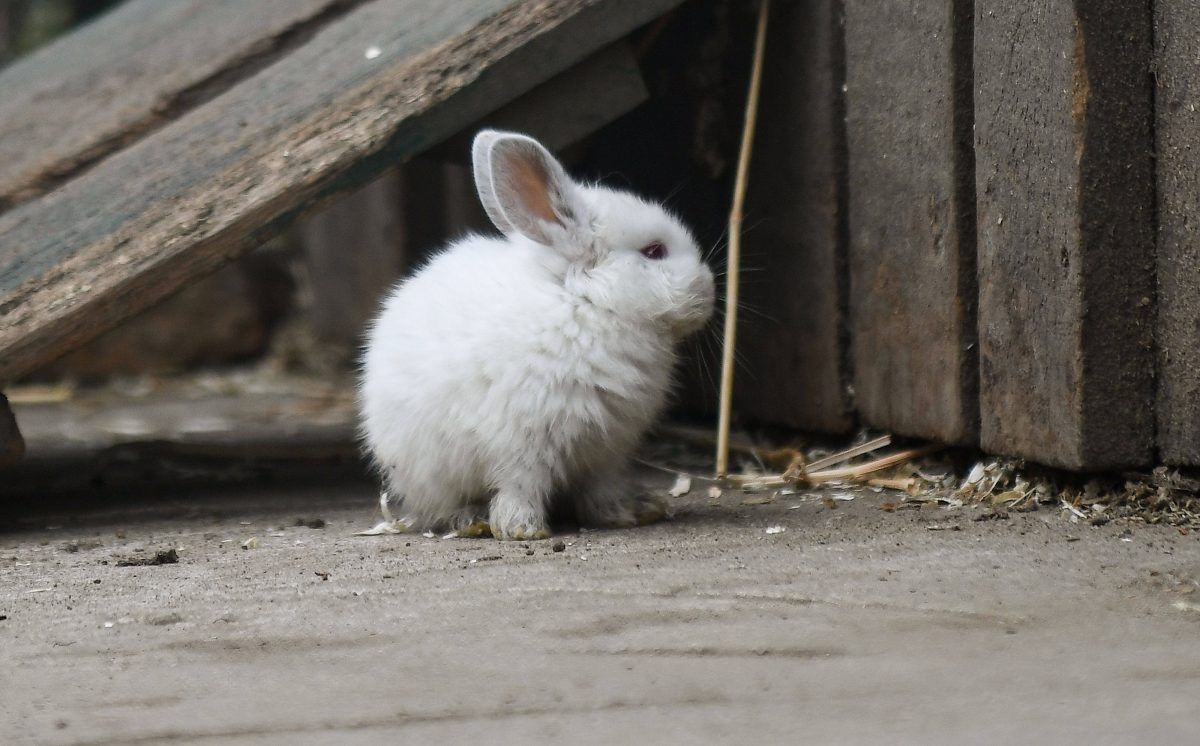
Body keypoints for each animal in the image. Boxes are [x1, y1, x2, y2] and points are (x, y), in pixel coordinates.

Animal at [355, 131, 710, 539]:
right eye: (653, 251)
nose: (710, 290)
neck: (584, 302)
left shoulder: (606, 450)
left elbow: (602, 488)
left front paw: (623, 515)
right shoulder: (523, 444)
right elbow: (520, 486)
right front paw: (523, 529)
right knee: (443, 505)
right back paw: (471, 520)